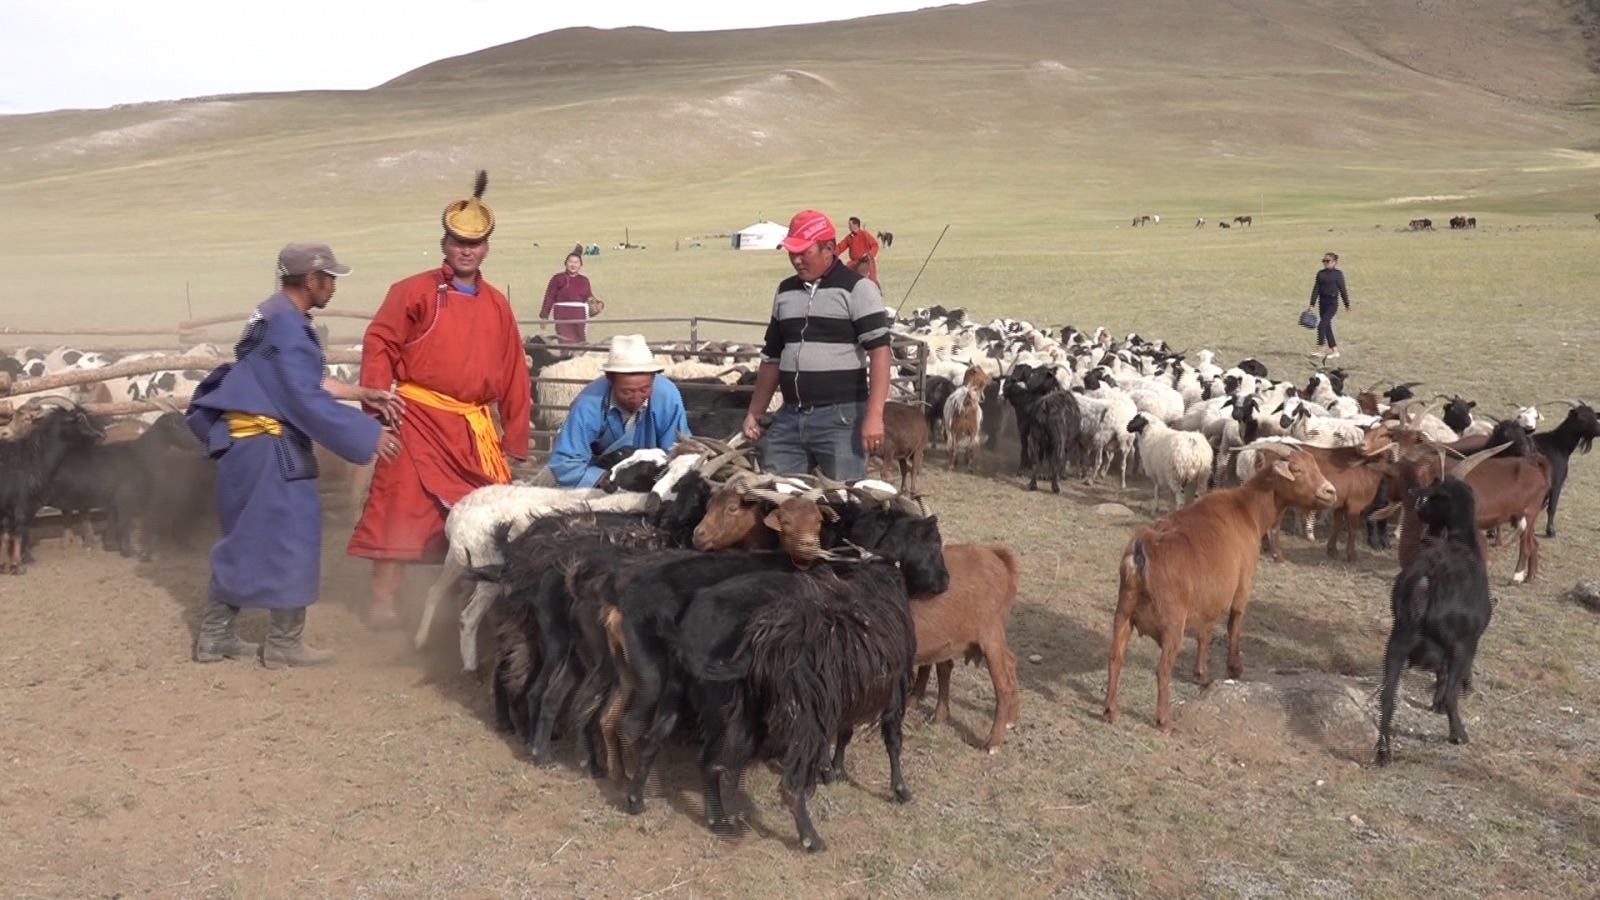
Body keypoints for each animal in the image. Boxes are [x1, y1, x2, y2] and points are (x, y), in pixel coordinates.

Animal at [0, 403, 104, 570]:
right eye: (80, 419)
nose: (100, 435)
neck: (31, 459)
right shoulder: (22, 503)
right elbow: (19, 531)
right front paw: (19, 563)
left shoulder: (8, 508)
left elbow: (6, 533)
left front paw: (6, 563)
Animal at [1100, 441, 1337, 730]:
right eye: (1298, 469)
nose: (1330, 491)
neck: (1247, 509)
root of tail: (1143, 547)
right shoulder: (1243, 582)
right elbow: (1234, 621)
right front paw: (1234, 668)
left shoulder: (1209, 597)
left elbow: (1206, 631)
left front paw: (1201, 673)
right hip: (1172, 621)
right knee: (1162, 669)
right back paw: (1163, 719)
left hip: (1123, 611)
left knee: (1115, 657)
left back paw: (1110, 710)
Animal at [1369, 477, 1491, 762]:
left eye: (1428, 497)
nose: (1415, 497)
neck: (1461, 541)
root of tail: (1428, 578)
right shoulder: (1468, 641)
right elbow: (1448, 679)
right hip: (1460, 645)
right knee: (1451, 694)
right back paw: (1459, 734)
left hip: (1399, 637)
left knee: (1387, 695)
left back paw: (1384, 753)